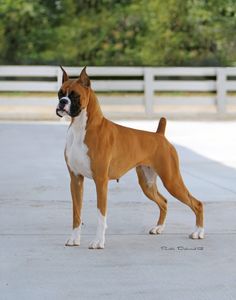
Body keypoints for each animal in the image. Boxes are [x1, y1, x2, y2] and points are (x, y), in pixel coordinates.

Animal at [56, 67, 204, 250]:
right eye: (60, 93)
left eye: (75, 95)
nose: (62, 102)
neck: (80, 128)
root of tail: (160, 135)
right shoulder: (76, 179)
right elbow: (76, 213)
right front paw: (74, 239)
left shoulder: (101, 181)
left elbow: (100, 214)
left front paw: (98, 242)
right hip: (147, 184)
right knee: (164, 201)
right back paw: (158, 228)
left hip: (172, 180)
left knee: (197, 203)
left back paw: (198, 232)